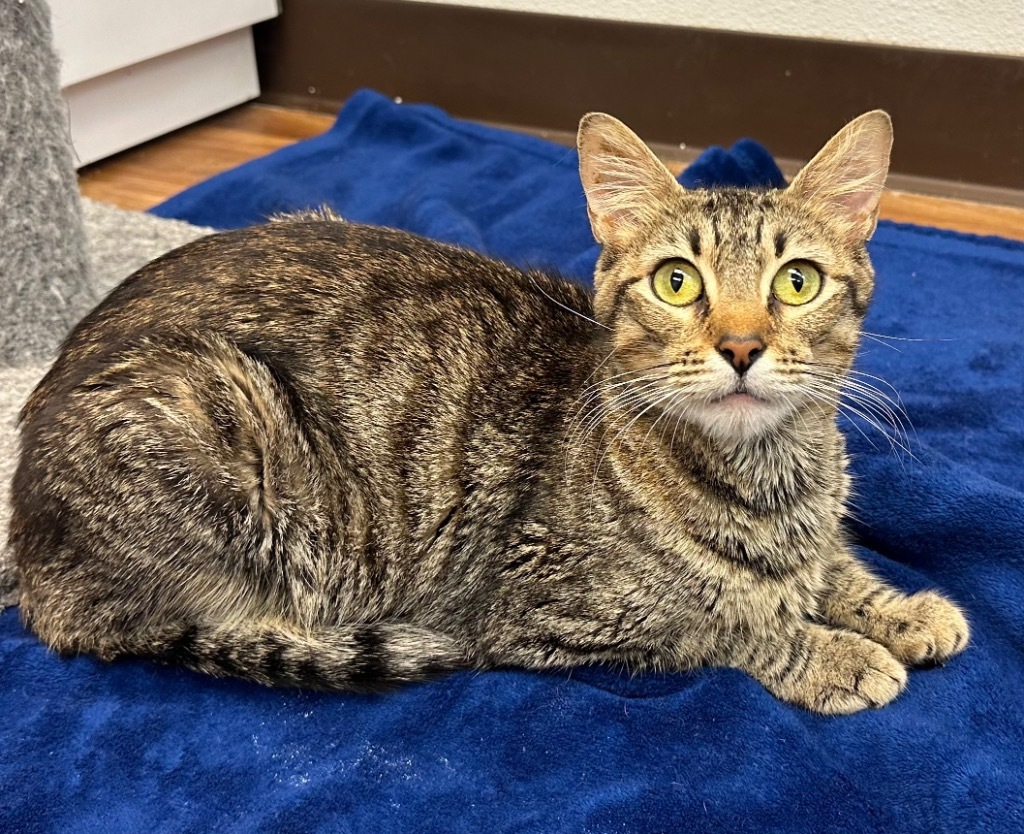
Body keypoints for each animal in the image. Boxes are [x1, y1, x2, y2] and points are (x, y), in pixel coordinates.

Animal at [8, 109, 966, 713]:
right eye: (676, 282)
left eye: (796, 282)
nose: (740, 346)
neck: (769, 477)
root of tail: (30, 555)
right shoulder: (551, 608)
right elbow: (722, 621)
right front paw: (832, 652)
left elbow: (832, 566)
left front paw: (901, 610)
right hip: (216, 412)